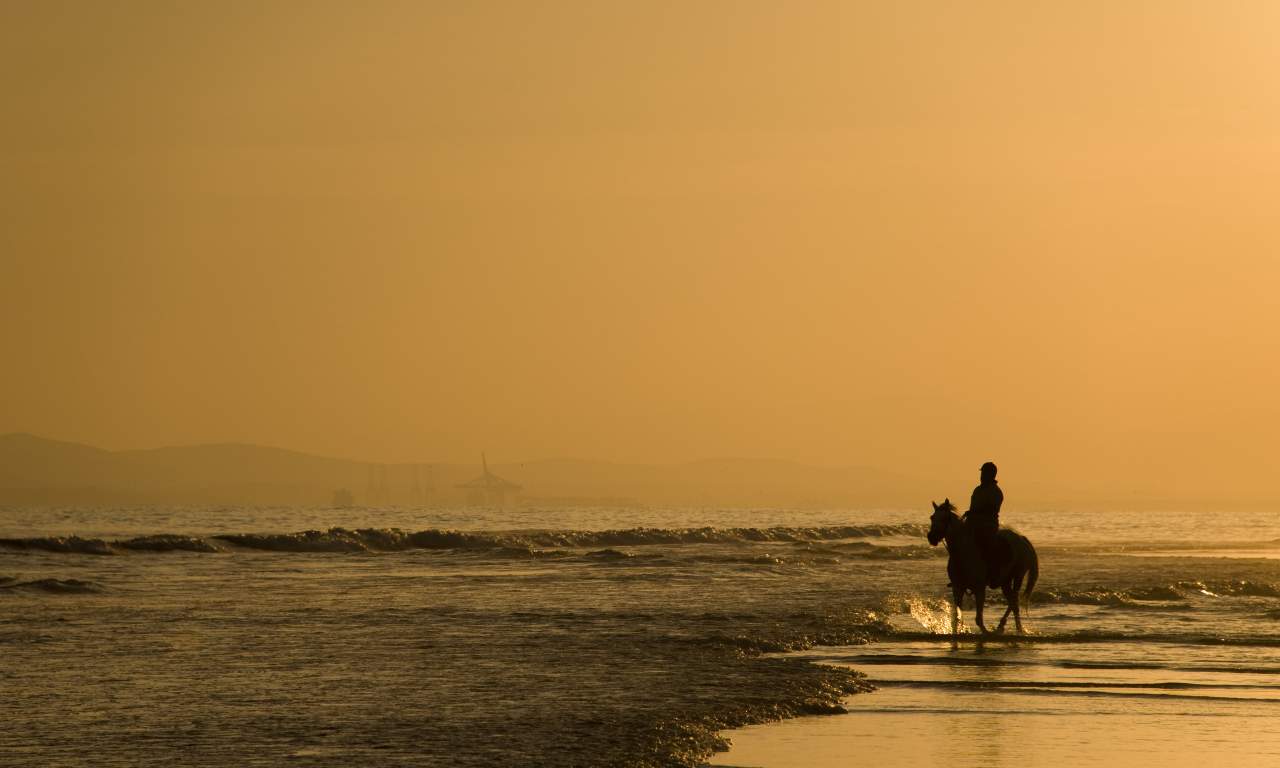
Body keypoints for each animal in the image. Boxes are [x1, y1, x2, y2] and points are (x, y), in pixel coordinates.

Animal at [931, 499, 1039, 634]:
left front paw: (985, 631)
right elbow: (957, 616)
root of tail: (1022, 538)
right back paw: (1009, 627)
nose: (931, 537)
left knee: (1014, 601)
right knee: (1013, 603)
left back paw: (1010, 627)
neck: (963, 552)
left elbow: (978, 619)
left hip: (1018, 574)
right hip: (1005, 580)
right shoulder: (957, 587)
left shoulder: (979, 588)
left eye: (944, 518)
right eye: (932, 517)